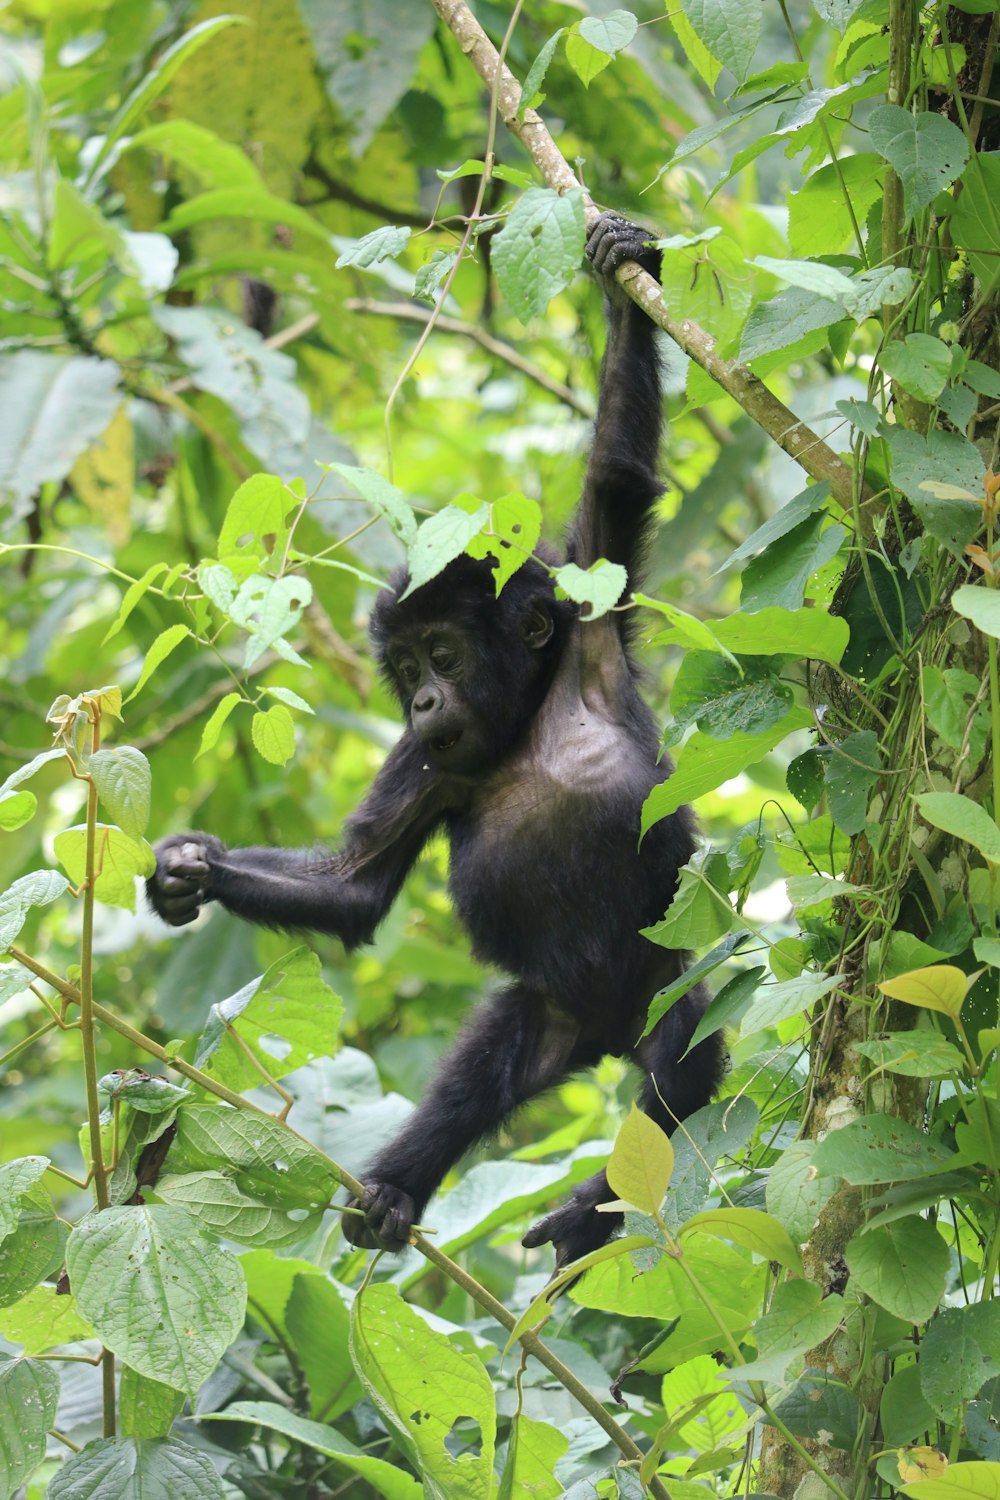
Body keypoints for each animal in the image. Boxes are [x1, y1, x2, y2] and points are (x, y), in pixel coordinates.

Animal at [148, 214, 722, 1266]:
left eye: (444, 655)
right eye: (406, 667)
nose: (420, 701)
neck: (525, 724)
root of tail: (609, 1033)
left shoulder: (591, 626)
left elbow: (616, 480)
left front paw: (624, 278)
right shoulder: (427, 767)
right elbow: (355, 884)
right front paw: (186, 871)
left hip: (674, 977)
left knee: (684, 1059)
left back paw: (590, 1208)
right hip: (553, 1012)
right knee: (484, 1068)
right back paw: (394, 1192)